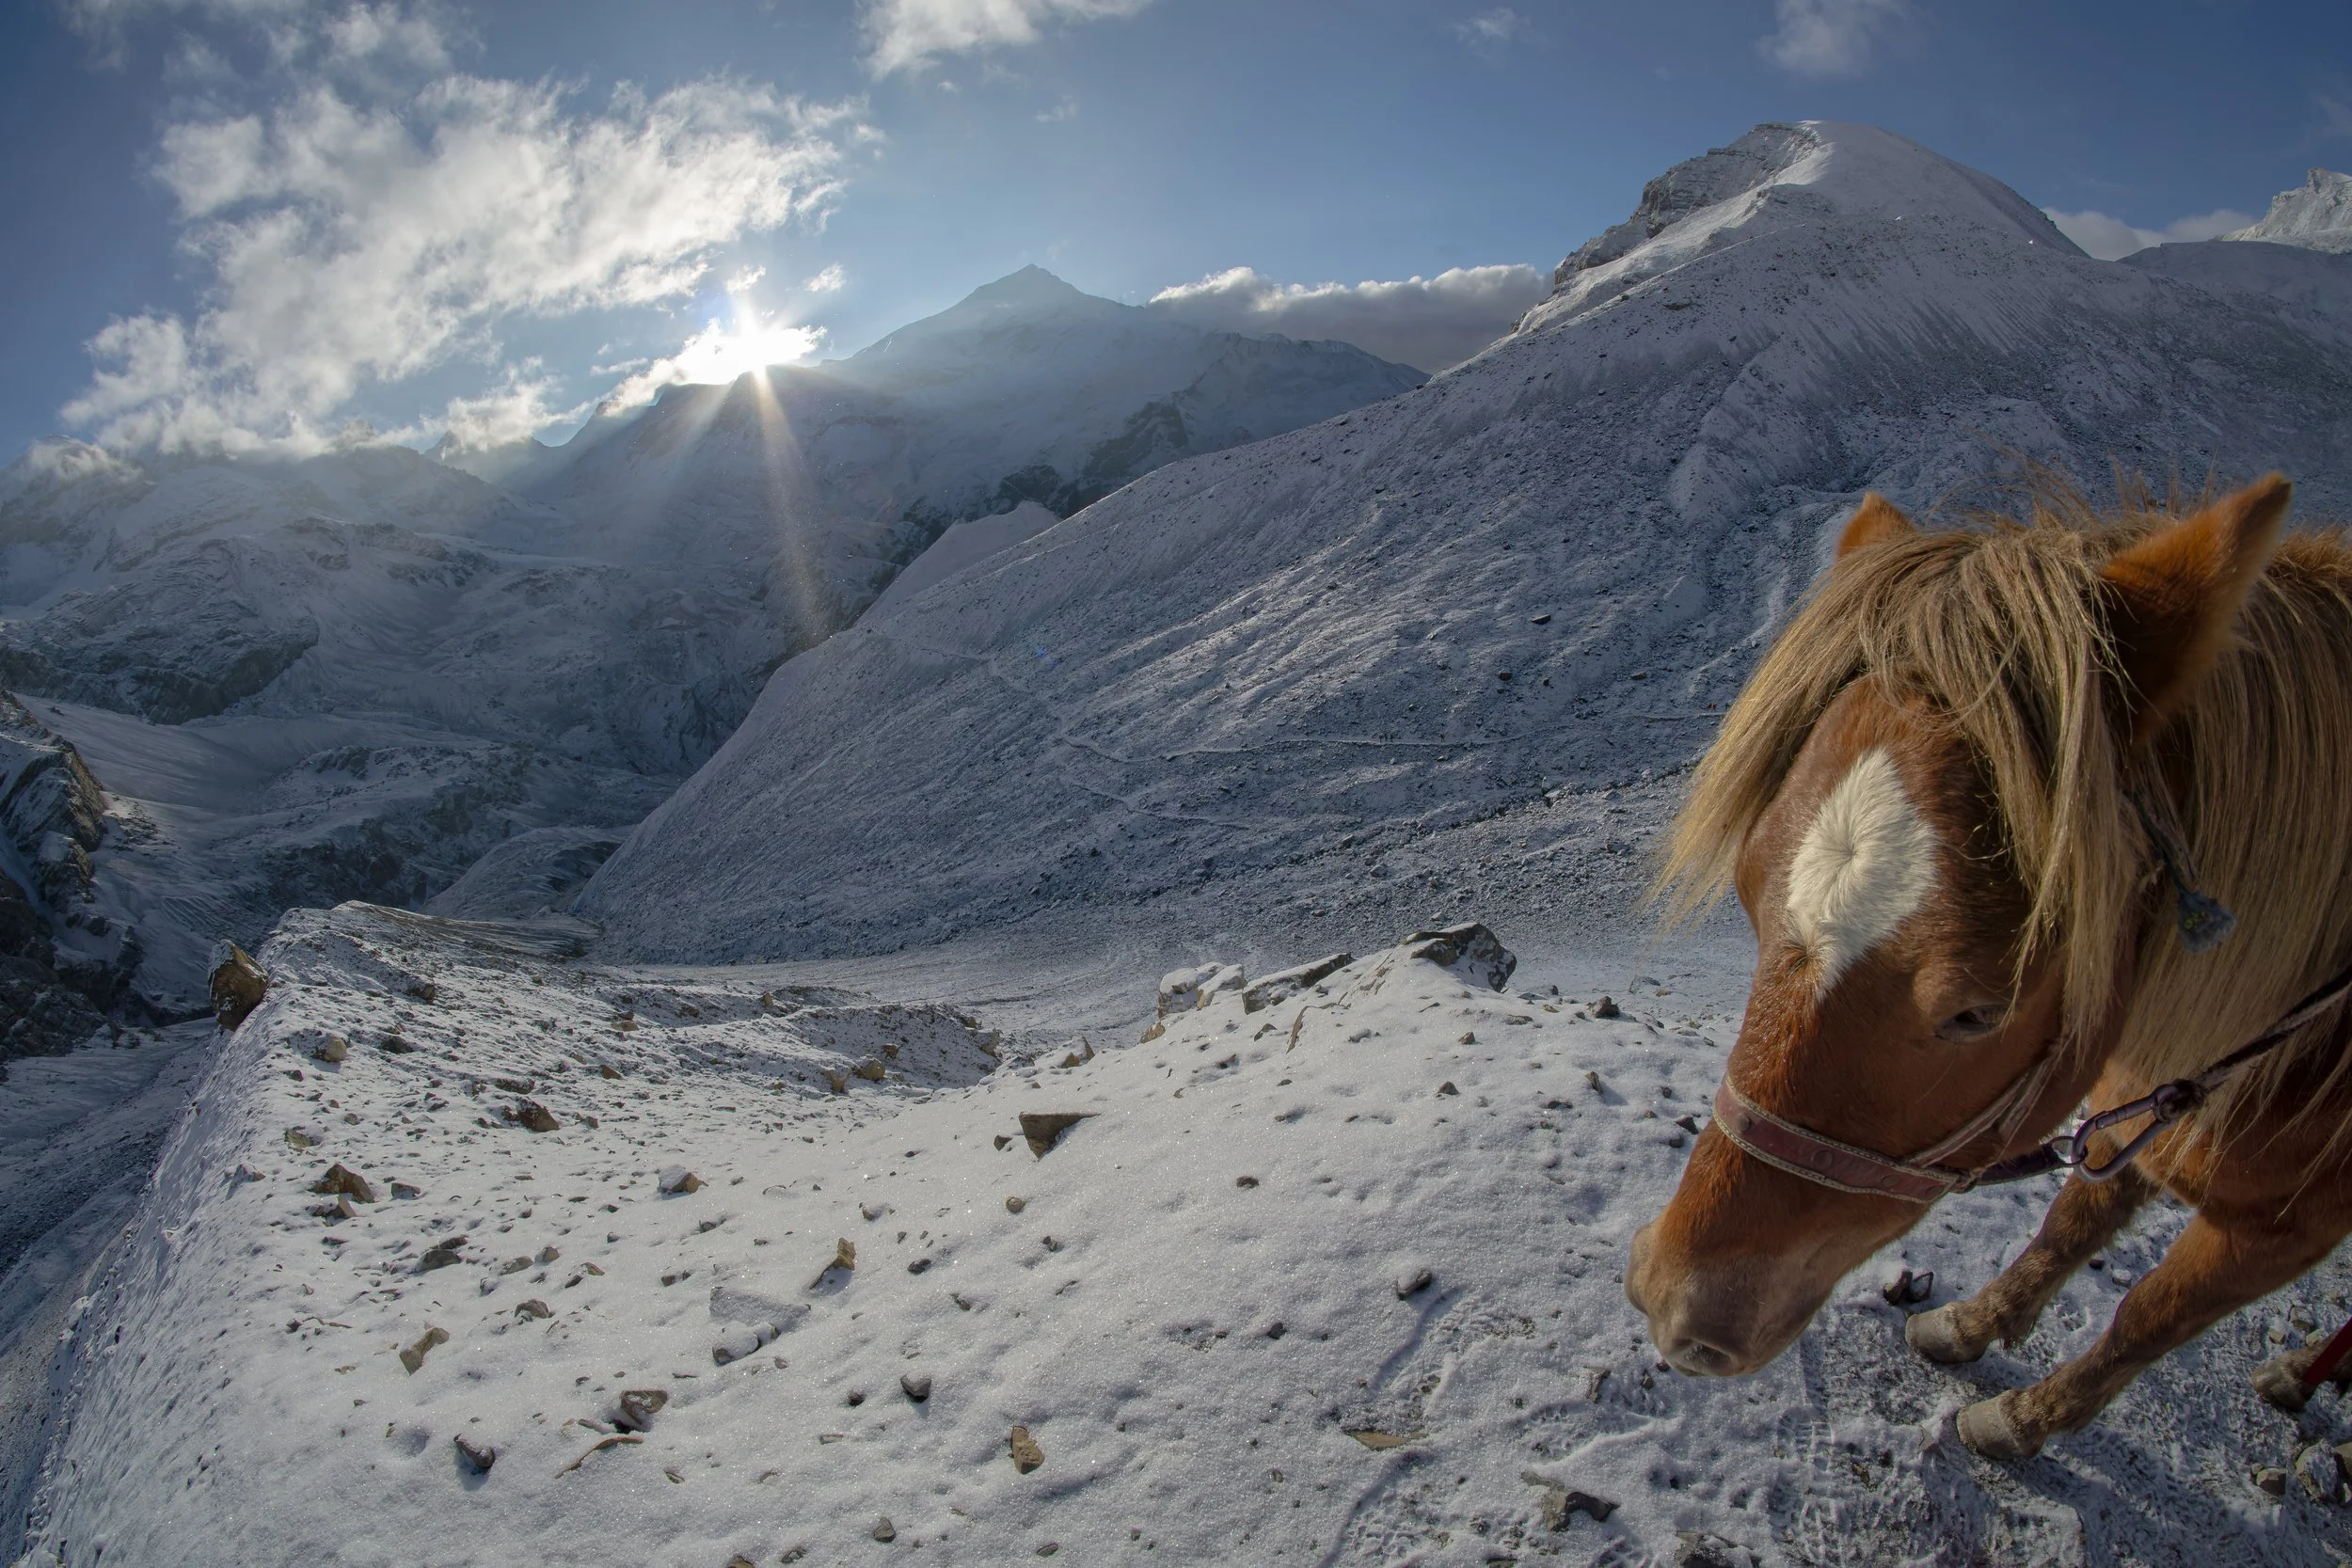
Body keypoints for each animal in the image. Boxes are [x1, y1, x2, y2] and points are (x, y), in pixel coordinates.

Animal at [1623, 472, 2352, 1460]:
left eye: (1978, 1009)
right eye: (1746, 898)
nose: (1673, 1300)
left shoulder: (2282, 1231)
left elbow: (2150, 1315)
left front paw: (2023, 1418)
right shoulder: (2133, 1110)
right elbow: (2067, 1223)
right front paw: (1971, 1324)